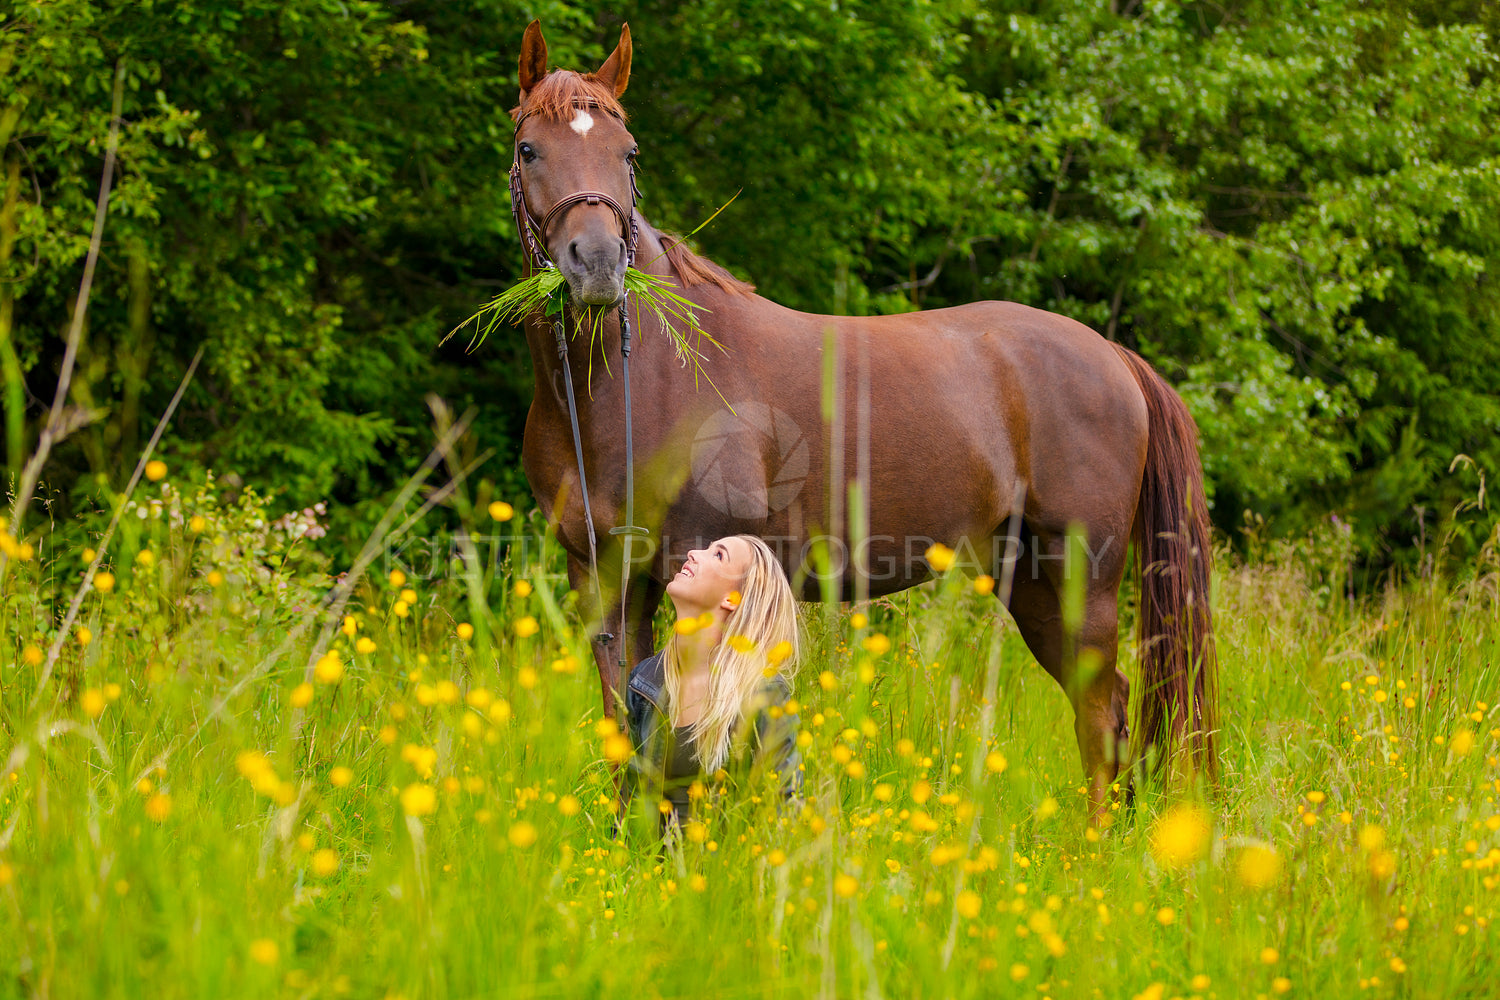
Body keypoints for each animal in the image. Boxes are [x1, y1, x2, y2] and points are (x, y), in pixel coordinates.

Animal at [510, 21, 1212, 821]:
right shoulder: (603, 579)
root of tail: (1113, 357)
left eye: (628, 153)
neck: (636, 378)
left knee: (1100, 711)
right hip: (1030, 580)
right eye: (530, 149)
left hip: (1080, 579)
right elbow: (625, 722)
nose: (595, 264)